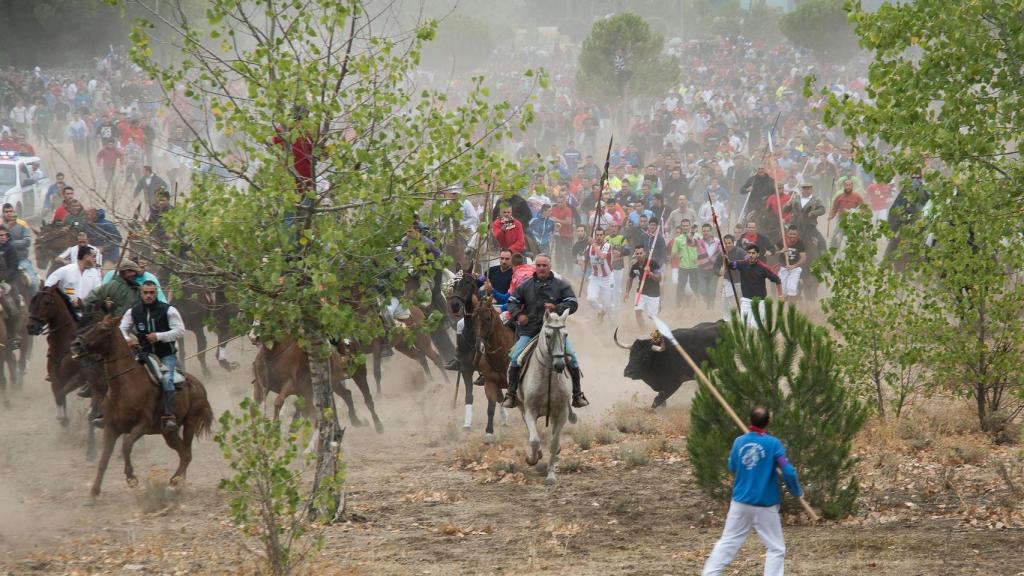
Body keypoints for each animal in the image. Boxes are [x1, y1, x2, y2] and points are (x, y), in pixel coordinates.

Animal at [74, 311, 216, 496]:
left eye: (103, 329)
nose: (77, 344)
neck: (125, 385)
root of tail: (199, 386)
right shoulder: (111, 427)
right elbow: (104, 458)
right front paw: (94, 491)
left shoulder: (142, 426)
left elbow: (126, 446)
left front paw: (131, 479)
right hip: (168, 433)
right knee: (183, 453)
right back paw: (177, 481)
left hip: (190, 423)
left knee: (187, 454)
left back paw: (174, 483)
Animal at [250, 336, 385, 430]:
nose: (254, 337)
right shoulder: (261, 386)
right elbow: (254, 405)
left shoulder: (290, 385)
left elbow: (279, 402)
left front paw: (275, 427)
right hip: (334, 383)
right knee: (347, 394)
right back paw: (356, 421)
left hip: (359, 373)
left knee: (367, 398)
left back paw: (378, 425)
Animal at [516, 309, 573, 483]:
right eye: (548, 335)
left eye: (566, 334)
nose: (559, 365)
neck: (548, 376)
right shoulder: (530, 410)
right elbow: (534, 440)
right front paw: (532, 459)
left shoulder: (561, 412)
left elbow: (554, 442)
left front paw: (551, 475)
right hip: (522, 408)